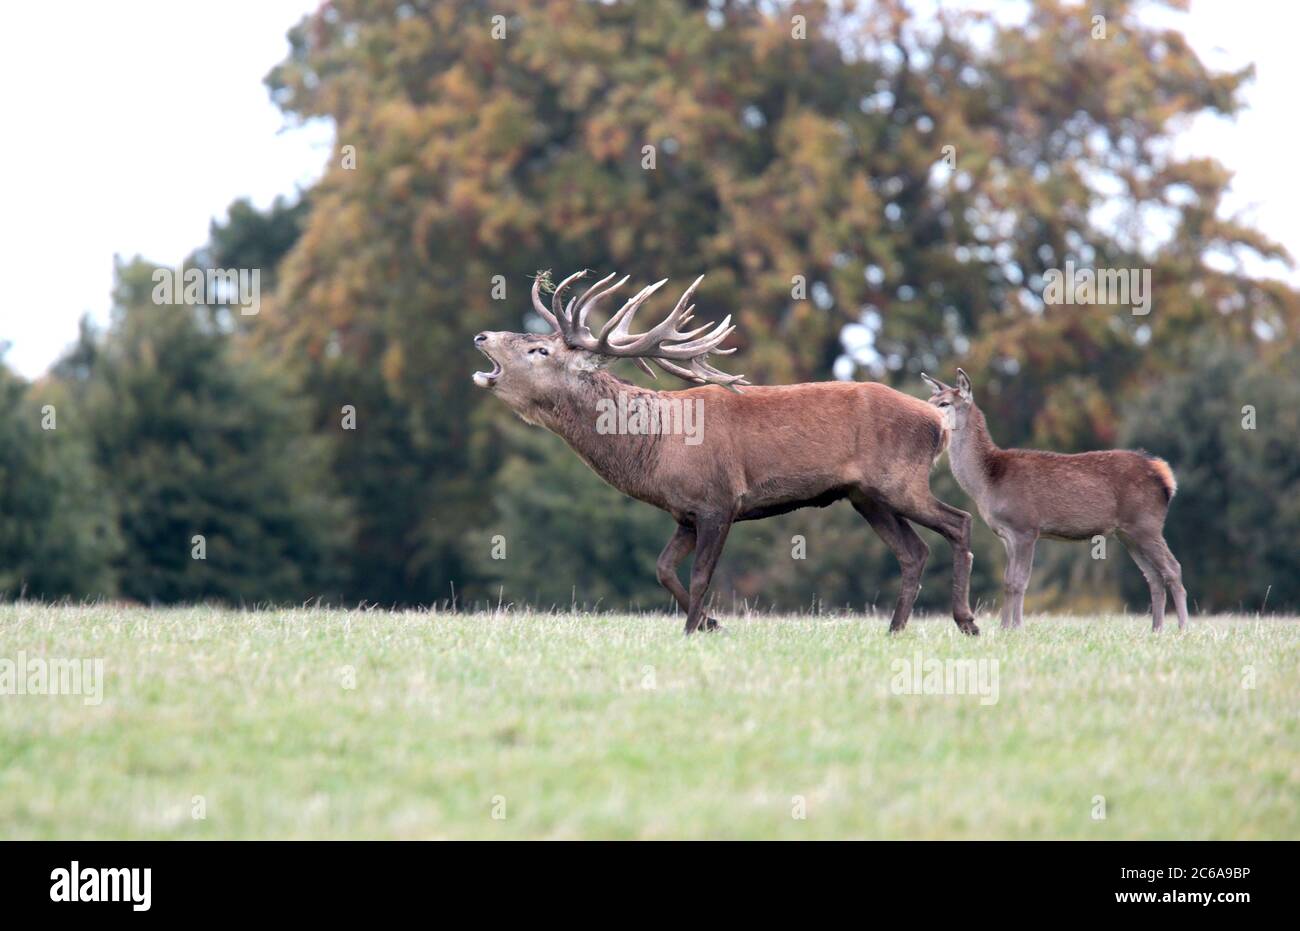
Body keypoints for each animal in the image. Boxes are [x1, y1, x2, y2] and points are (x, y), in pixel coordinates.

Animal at [475, 269, 977, 631]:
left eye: (540, 350)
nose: (482, 336)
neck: (654, 448)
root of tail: (937, 423)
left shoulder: (719, 500)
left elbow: (700, 576)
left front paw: (693, 630)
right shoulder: (685, 512)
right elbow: (662, 569)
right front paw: (711, 624)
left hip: (900, 480)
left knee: (959, 521)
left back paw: (965, 621)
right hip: (866, 495)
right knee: (914, 552)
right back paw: (895, 629)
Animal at [920, 366, 1185, 629]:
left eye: (944, 403)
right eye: (930, 400)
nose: (925, 413)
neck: (988, 482)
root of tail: (1166, 477)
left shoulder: (1025, 526)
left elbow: (1019, 581)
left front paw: (1017, 627)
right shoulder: (1006, 534)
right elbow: (1007, 581)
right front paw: (1004, 628)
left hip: (1146, 523)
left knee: (1173, 568)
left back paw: (1182, 628)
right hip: (1128, 532)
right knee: (1153, 576)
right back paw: (1157, 630)